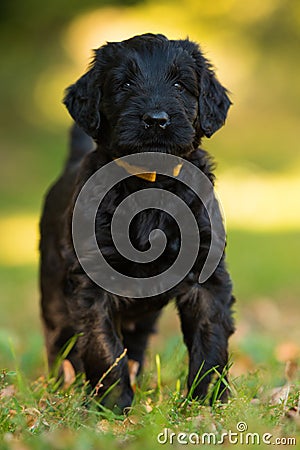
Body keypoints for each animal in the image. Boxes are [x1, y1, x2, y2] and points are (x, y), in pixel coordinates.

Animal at [39, 33, 236, 410]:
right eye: (124, 84)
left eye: (180, 84)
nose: (156, 119)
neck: (150, 184)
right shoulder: (91, 280)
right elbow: (103, 345)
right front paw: (114, 406)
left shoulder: (207, 275)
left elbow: (210, 337)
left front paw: (205, 402)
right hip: (53, 295)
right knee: (60, 344)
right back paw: (63, 387)